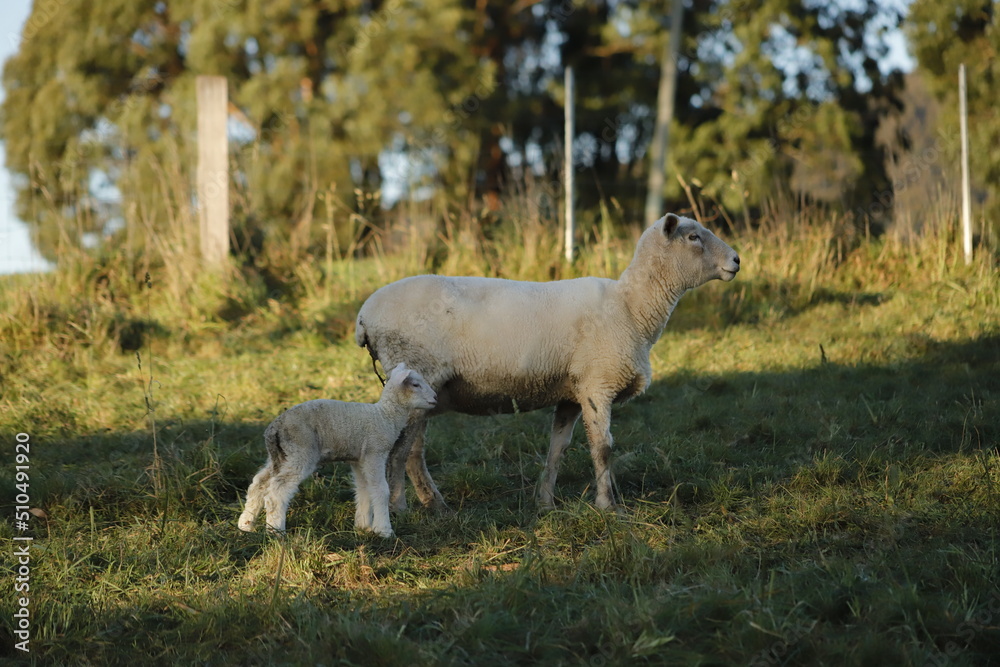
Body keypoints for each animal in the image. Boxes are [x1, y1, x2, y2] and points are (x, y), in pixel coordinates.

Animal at [237, 363, 437, 537]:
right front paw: (384, 531)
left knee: (259, 483)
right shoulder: (375, 453)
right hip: (301, 450)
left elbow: (363, 489)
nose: (435, 398)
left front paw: (363, 527)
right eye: (416, 384)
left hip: (280, 455)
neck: (385, 416)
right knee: (277, 491)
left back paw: (245, 525)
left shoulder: (359, 459)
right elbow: (381, 490)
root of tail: (274, 428)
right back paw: (276, 532)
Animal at [354, 213, 740, 513]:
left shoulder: (572, 392)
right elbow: (603, 448)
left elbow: (558, 449)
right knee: (402, 449)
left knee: (414, 450)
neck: (632, 306)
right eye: (693, 236)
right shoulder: (597, 384)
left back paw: (434, 504)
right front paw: (609, 506)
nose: (737, 260)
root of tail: (364, 316)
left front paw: (545, 502)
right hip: (416, 371)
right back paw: (401, 507)